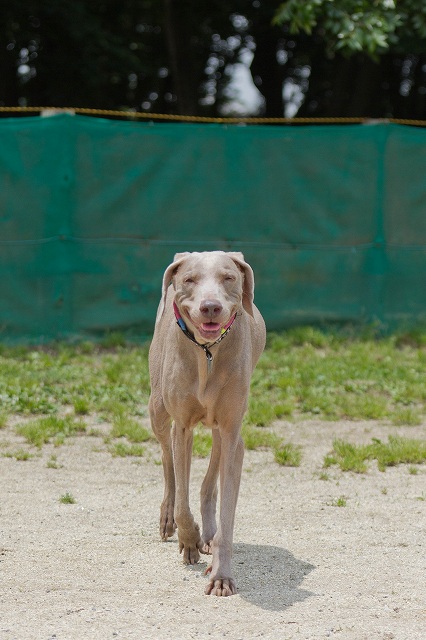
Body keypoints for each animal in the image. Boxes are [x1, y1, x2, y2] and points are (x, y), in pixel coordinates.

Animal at [148, 250, 264, 596]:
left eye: (228, 277)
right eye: (189, 280)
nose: (210, 307)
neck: (207, 353)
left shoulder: (230, 426)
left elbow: (227, 510)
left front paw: (221, 574)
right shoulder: (182, 426)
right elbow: (182, 504)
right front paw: (189, 540)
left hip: (224, 428)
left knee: (214, 472)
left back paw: (209, 533)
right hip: (157, 409)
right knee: (168, 461)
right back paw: (168, 519)